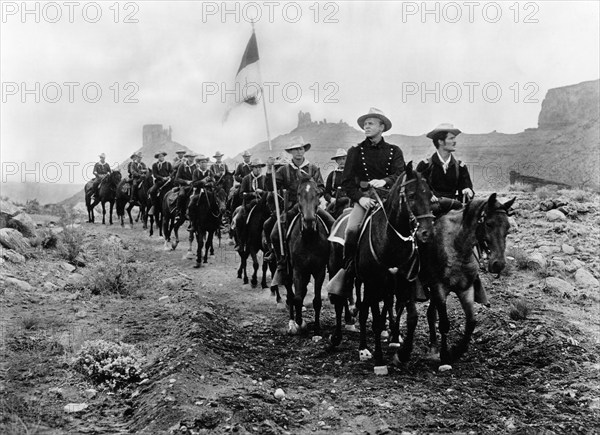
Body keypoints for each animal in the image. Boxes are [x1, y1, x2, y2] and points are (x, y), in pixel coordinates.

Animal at [352, 164, 436, 368]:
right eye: (412, 195)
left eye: (430, 195)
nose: (427, 233)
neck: (390, 241)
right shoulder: (373, 282)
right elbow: (374, 318)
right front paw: (379, 358)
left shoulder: (406, 280)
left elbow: (411, 317)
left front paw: (403, 352)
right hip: (363, 281)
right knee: (363, 309)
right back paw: (363, 347)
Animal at [424, 194, 512, 368]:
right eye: (489, 223)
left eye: (508, 227)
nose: (498, 264)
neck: (457, 245)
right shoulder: (439, 288)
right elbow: (444, 324)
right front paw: (445, 355)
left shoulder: (466, 289)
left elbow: (471, 322)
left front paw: (457, 351)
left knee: (430, 313)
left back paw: (433, 347)